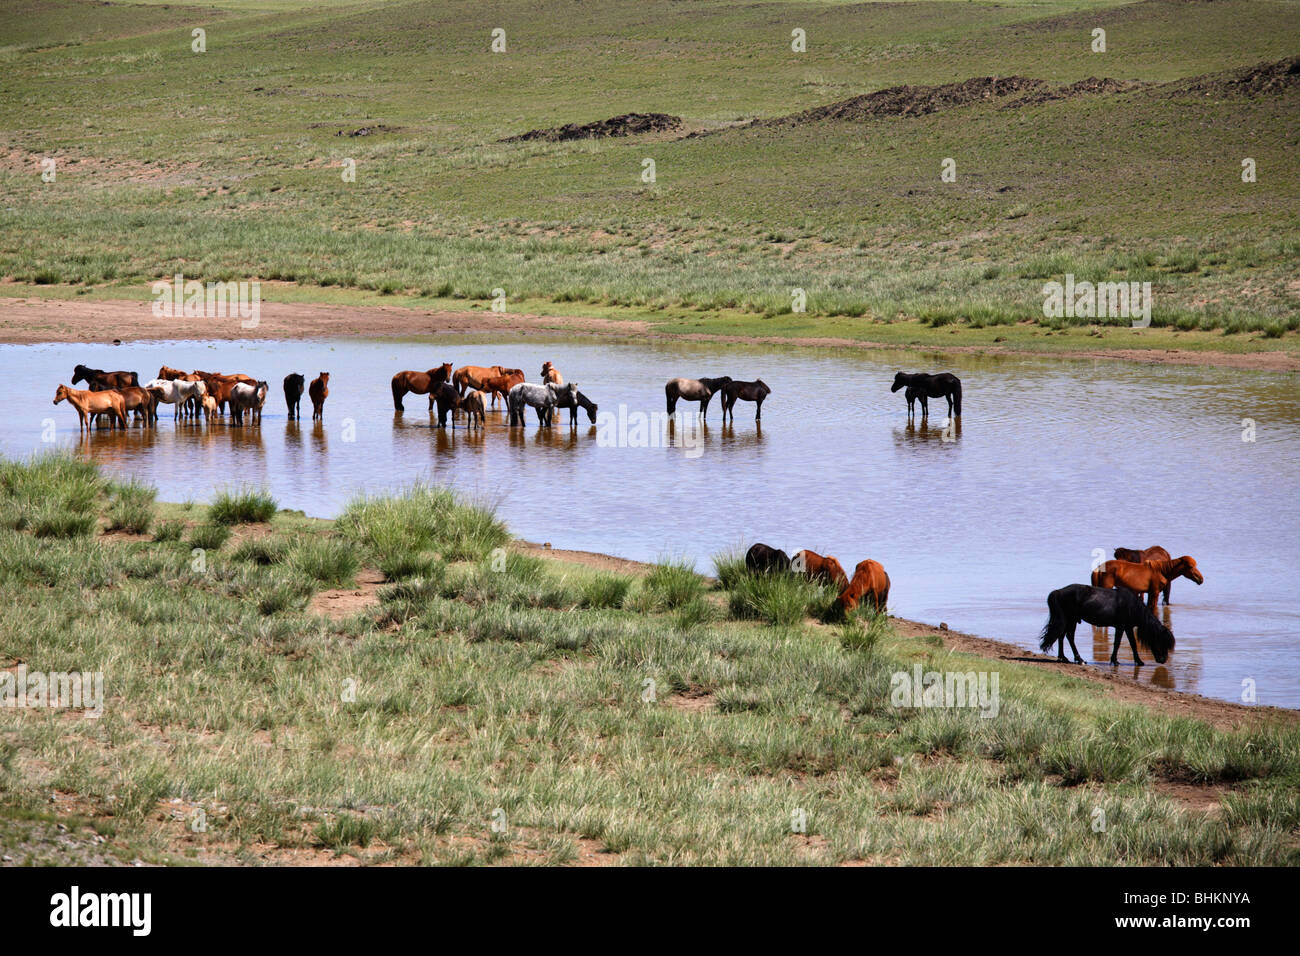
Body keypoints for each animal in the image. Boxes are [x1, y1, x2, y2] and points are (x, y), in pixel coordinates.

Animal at [1038, 583, 1174, 666]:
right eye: (1161, 641)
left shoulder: (1128, 627)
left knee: (1062, 636)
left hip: (1068, 620)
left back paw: (1063, 657)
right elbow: (1117, 643)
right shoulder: (1121, 626)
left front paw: (1139, 661)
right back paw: (1079, 659)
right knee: (1069, 636)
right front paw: (1115, 661)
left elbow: (1133, 644)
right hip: (1071, 619)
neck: (1132, 606)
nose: (1163, 660)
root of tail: (1059, 592)